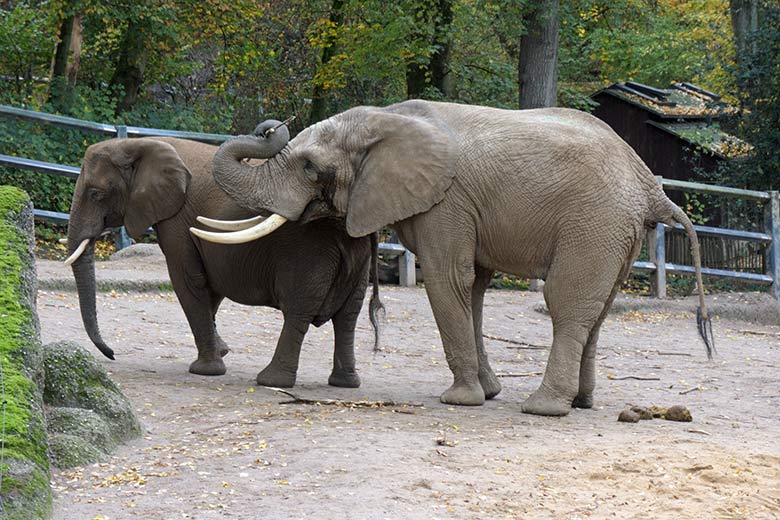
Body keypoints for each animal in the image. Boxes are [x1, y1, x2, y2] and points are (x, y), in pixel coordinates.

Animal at [67, 136, 384, 388]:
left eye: (95, 194)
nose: (111, 354)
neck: (139, 143)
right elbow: (211, 287)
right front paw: (222, 351)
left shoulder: (176, 220)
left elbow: (188, 281)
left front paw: (206, 370)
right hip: (357, 254)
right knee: (349, 314)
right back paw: (345, 383)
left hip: (310, 250)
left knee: (299, 310)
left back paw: (271, 381)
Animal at [190, 101, 712, 416]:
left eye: (310, 167)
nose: (270, 127)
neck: (387, 121)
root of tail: (649, 185)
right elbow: (473, 289)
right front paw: (488, 391)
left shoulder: (446, 202)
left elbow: (447, 280)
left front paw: (460, 400)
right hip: (617, 231)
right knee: (598, 310)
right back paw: (581, 401)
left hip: (595, 221)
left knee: (568, 304)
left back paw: (543, 407)